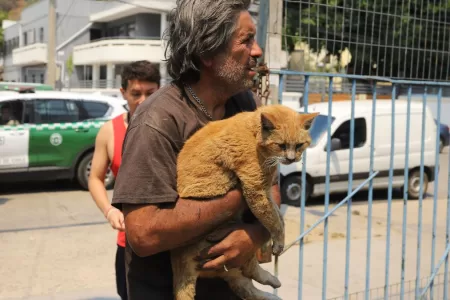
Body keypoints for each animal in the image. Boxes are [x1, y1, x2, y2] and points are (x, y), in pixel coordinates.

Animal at [171, 104, 316, 298]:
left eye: (300, 145)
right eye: (281, 145)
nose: (291, 159)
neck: (254, 132)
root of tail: (178, 259)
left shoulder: (266, 190)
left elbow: (278, 215)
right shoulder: (256, 189)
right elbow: (273, 220)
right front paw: (279, 241)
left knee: (245, 286)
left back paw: (272, 291)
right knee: (249, 270)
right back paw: (271, 282)